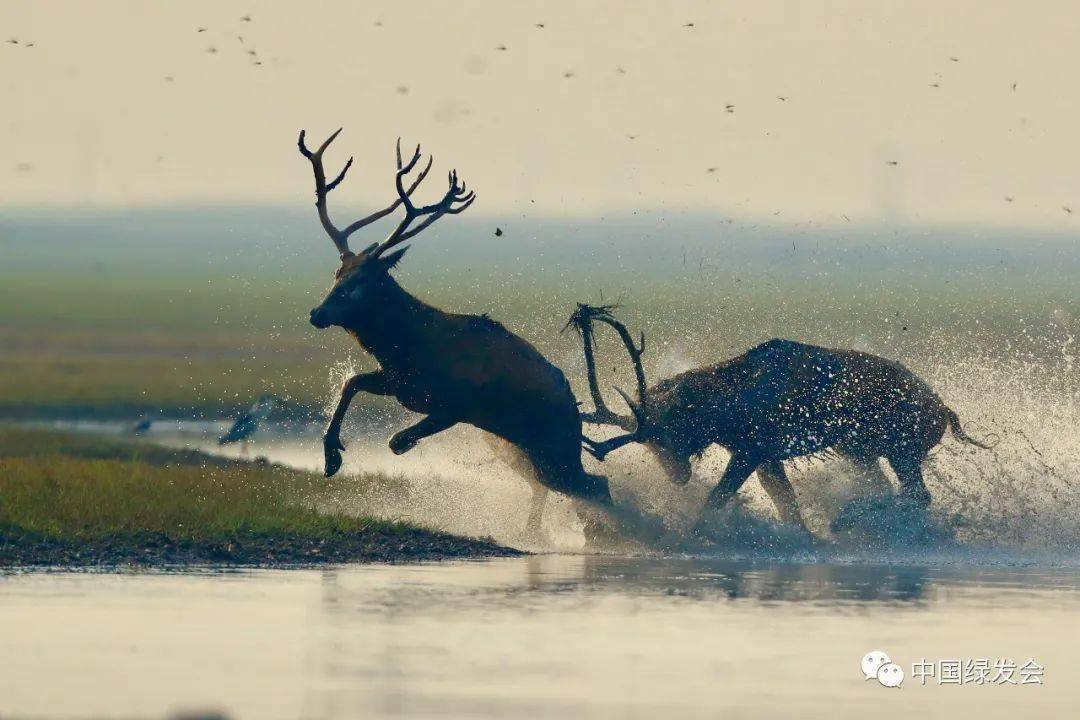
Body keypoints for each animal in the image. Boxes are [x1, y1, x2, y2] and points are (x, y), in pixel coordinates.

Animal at [300, 127, 613, 535]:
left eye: (362, 282)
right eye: (337, 273)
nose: (317, 313)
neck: (406, 347)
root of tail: (575, 407)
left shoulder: (456, 406)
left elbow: (396, 441)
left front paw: (386, 447)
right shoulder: (399, 384)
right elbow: (351, 383)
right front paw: (331, 458)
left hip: (554, 447)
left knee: (596, 484)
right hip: (537, 452)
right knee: (577, 485)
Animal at [570, 302, 989, 533]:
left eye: (668, 431)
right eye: (648, 443)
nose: (676, 476)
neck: (726, 405)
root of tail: (946, 411)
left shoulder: (753, 449)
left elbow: (718, 498)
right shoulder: (767, 456)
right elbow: (785, 503)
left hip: (899, 449)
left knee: (918, 494)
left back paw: (846, 518)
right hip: (859, 450)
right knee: (892, 489)